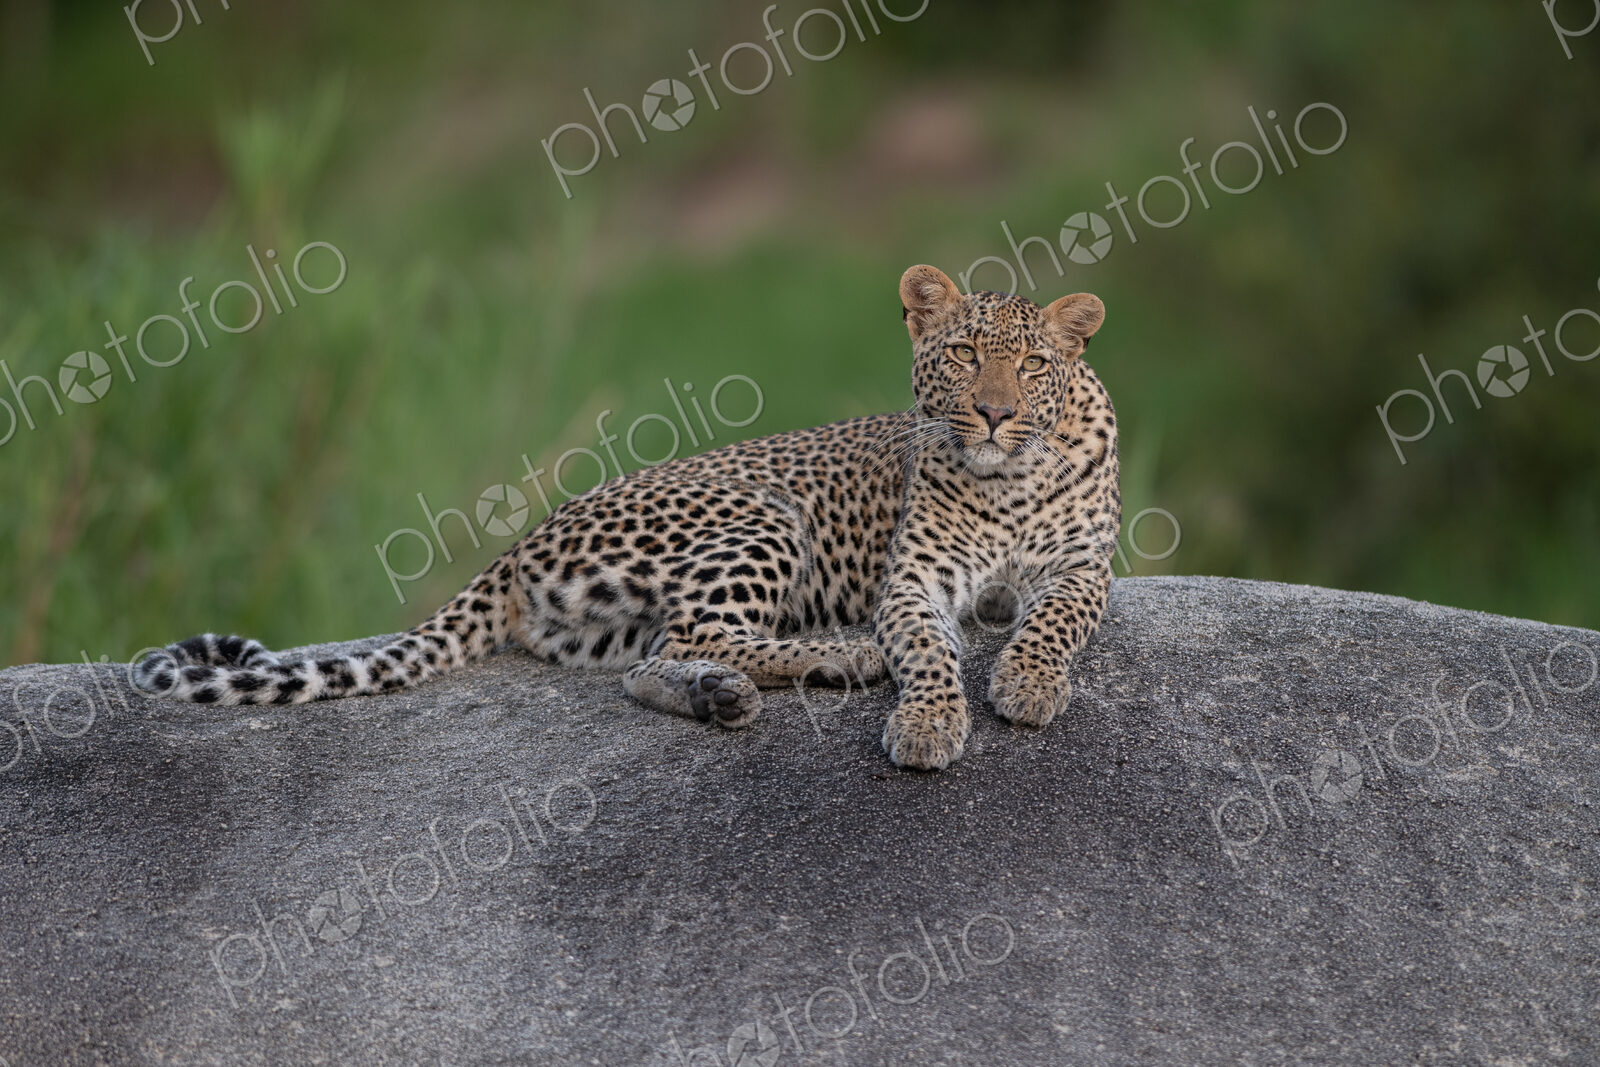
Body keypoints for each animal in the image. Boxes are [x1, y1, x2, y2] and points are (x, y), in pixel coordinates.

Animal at [132, 264, 1120, 770]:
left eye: (1032, 365)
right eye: (962, 354)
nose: (991, 412)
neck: (1009, 476)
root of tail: (519, 542)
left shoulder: (1082, 568)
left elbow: (1053, 622)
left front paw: (1027, 682)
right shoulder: (912, 581)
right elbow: (922, 649)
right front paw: (927, 721)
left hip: (612, 624)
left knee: (650, 661)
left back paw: (723, 696)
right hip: (760, 514)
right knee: (703, 632)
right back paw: (835, 658)